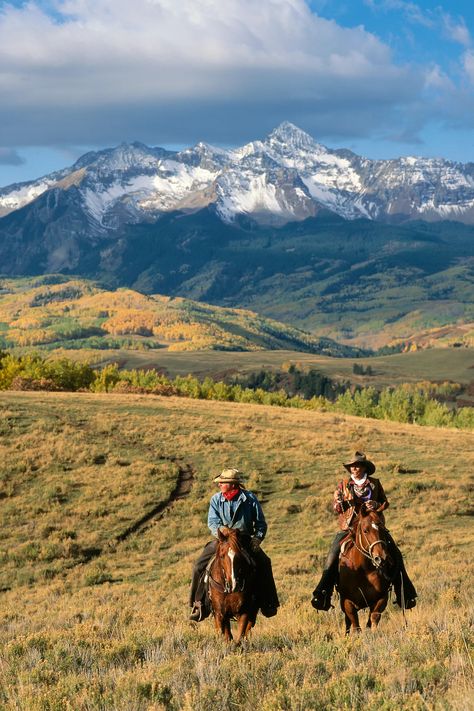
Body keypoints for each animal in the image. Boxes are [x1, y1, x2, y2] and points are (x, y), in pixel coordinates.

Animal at [338, 500, 394, 636]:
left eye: (383, 529)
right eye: (365, 530)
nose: (381, 558)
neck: (364, 570)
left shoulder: (381, 598)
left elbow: (373, 619)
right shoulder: (348, 602)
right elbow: (356, 626)